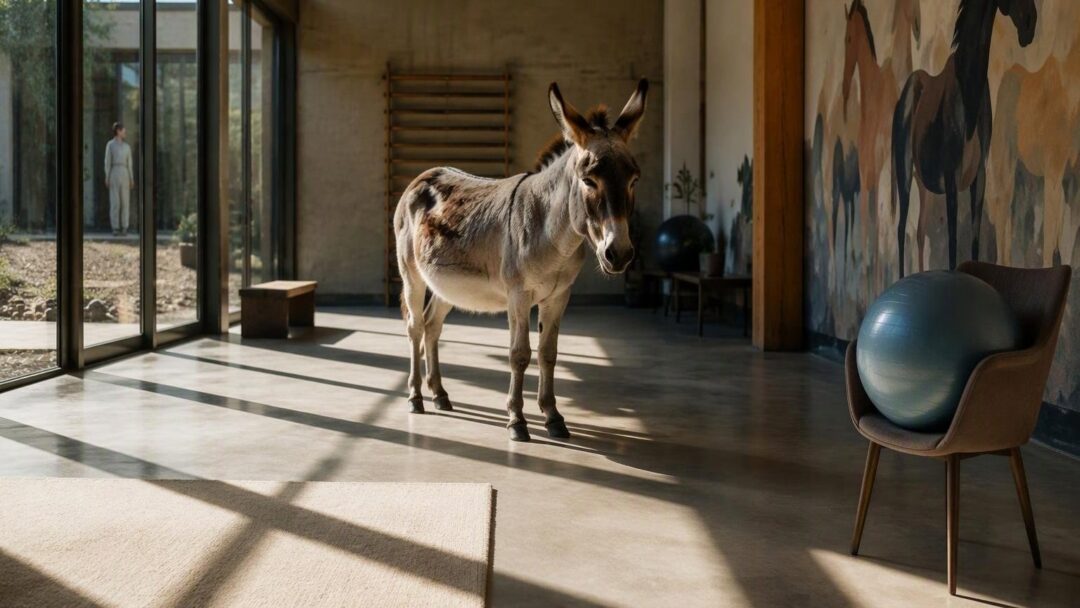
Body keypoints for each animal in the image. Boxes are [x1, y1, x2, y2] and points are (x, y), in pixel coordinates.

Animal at [393, 80, 648, 442]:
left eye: (633, 180)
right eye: (589, 181)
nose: (621, 253)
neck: (554, 237)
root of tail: (425, 174)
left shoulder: (559, 296)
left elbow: (548, 353)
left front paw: (553, 417)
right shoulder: (518, 295)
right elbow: (519, 354)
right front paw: (517, 420)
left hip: (446, 285)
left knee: (432, 326)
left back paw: (439, 394)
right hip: (412, 275)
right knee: (415, 327)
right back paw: (415, 397)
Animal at [892, 0, 1036, 276]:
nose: (1030, 25)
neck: (969, 90)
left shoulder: (979, 175)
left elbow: (974, 240)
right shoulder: (951, 176)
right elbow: (952, 242)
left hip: (923, 184)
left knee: (919, 232)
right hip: (904, 174)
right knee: (901, 228)